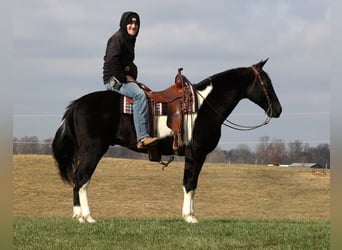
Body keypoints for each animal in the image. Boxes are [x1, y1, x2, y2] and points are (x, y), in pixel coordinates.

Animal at [50, 58, 280, 223]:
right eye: (267, 82)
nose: (277, 109)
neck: (204, 106)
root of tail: (77, 104)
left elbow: (191, 184)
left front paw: (189, 215)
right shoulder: (196, 154)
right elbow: (190, 183)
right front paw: (190, 217)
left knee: (78, 179)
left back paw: (78, 216)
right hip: (93, 150)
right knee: (82, 178)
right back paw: (87, 217)